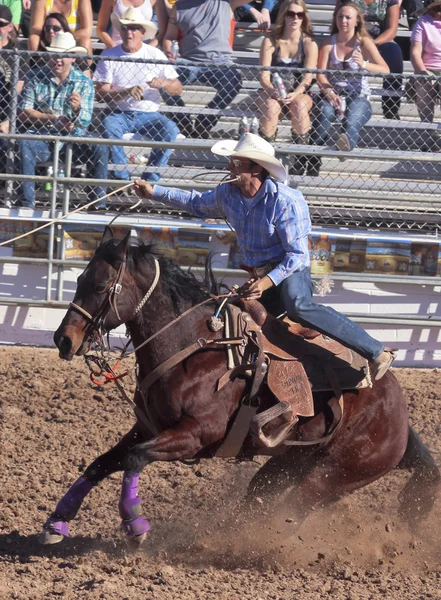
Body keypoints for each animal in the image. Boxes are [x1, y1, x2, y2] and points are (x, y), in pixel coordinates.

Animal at [43, 227, 438, 548]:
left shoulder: (196, 435)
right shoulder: (146, 427)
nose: (63, 339)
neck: (195, 349)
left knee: (297, 507)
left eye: (99, 286)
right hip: (288, 463)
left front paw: (135, 525)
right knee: (257, 499)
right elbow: (100, 463)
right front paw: (56, 523)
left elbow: (134, 458)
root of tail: (401, 418)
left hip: (335, 475)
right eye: (79, 278)